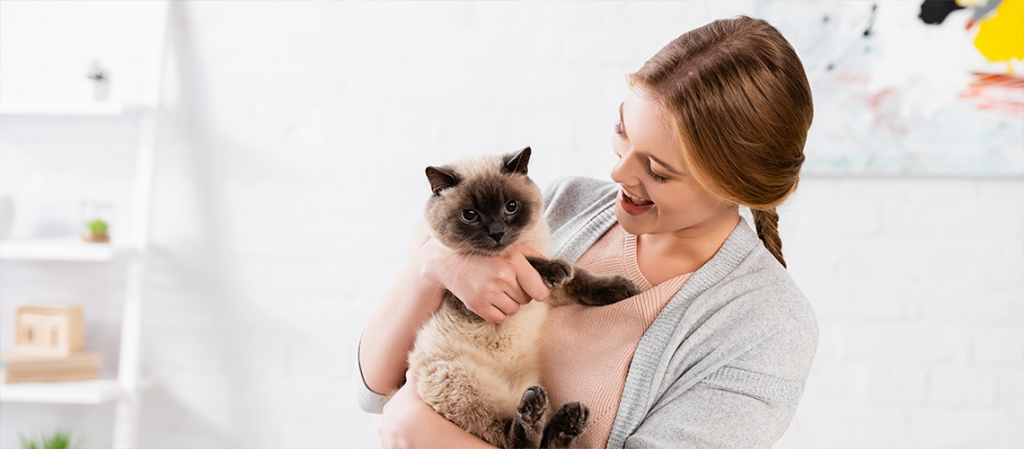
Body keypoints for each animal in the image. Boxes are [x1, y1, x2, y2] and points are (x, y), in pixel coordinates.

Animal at [401, 147, 634, 449]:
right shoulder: (465, 296)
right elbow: (530, 262)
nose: (497, 233)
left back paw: (569, 418)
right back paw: (536, 412)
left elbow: (580, 279)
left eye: (511, 207)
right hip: (462, 385)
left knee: (544, 442)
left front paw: (623, 289)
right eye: (470, 215)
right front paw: (555, 268)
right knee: (514, 440)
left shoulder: (545, 293)